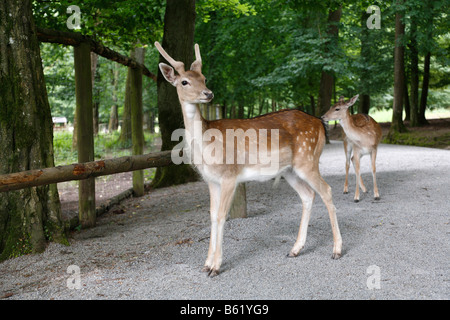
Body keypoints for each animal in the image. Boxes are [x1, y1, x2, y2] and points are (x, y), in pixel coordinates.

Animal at [155, 42, 342, 278]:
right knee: (308, 195)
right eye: (184, 81)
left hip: (308, 160)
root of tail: (319, 123)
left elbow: (221, 216)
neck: (206, 146)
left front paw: (215, 267)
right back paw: (295, 249)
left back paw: (336, 250)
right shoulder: (211, 180)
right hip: (290, 170)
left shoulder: (229, 175)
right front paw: (206, 263)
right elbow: (211, 215)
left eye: (204, 78)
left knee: (326, 190)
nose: (208, 93)